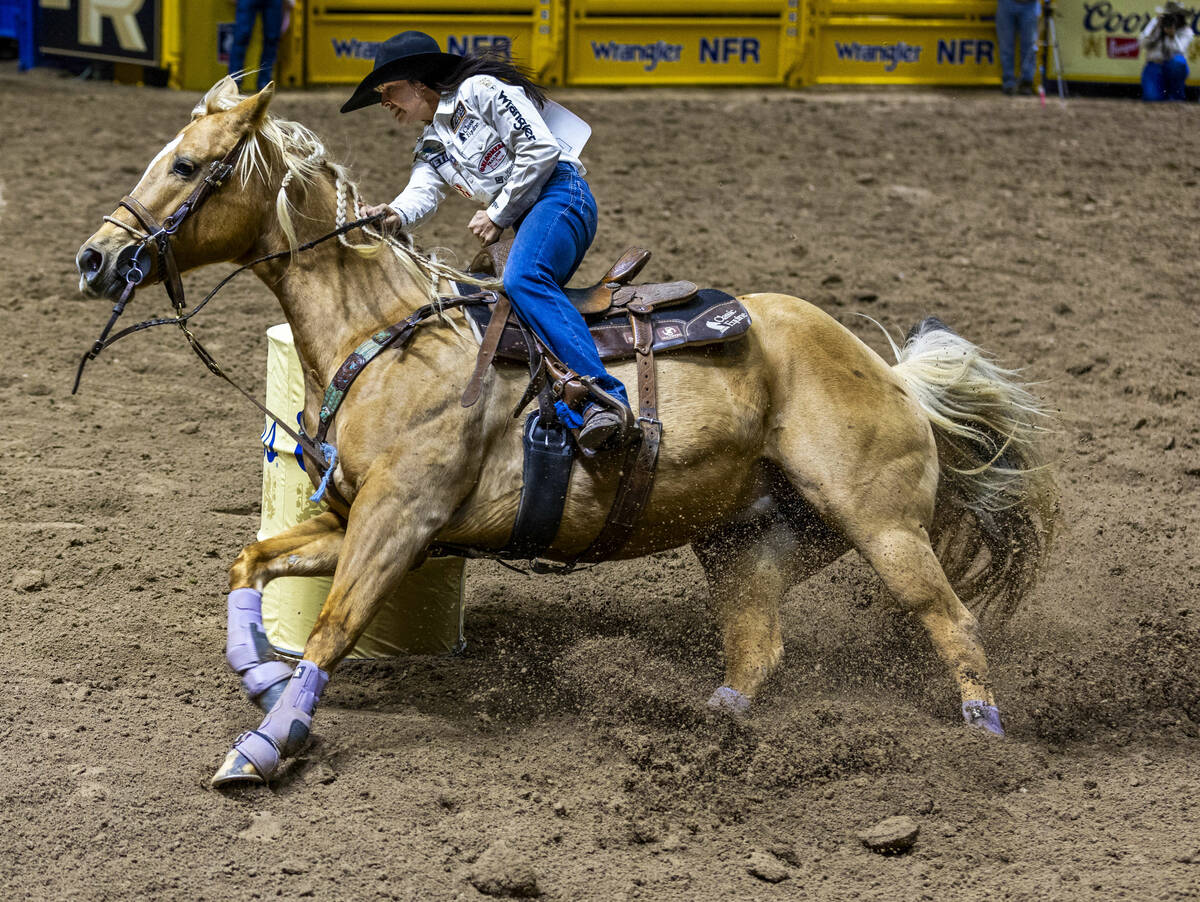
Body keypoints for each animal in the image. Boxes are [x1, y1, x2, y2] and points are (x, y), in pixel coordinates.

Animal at [75, 80, 1056, 786]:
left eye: (187, 165)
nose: (95, 257)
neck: (387, 334)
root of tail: (885, 371)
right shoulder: (354, 516)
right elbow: (250, 562)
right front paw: (260, 675)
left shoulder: (400, 522)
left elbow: (334, 628)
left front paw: (266, 744)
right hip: (748, 538)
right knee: (758, 646)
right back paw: (710, 731)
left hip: (882, 526)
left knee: (954, 624)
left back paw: (984, 740)